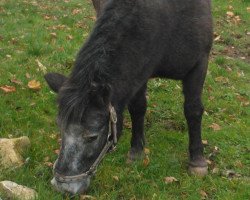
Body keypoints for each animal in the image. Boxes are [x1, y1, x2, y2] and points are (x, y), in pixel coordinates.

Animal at [45, 0, 213, 195]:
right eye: (60, 128)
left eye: (93, 136)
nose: (62, 186)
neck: (168, 16)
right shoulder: (139, 71)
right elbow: (138, 108)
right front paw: (137, 151)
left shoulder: (199, 64)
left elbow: (193, 110)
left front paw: (197, 161)